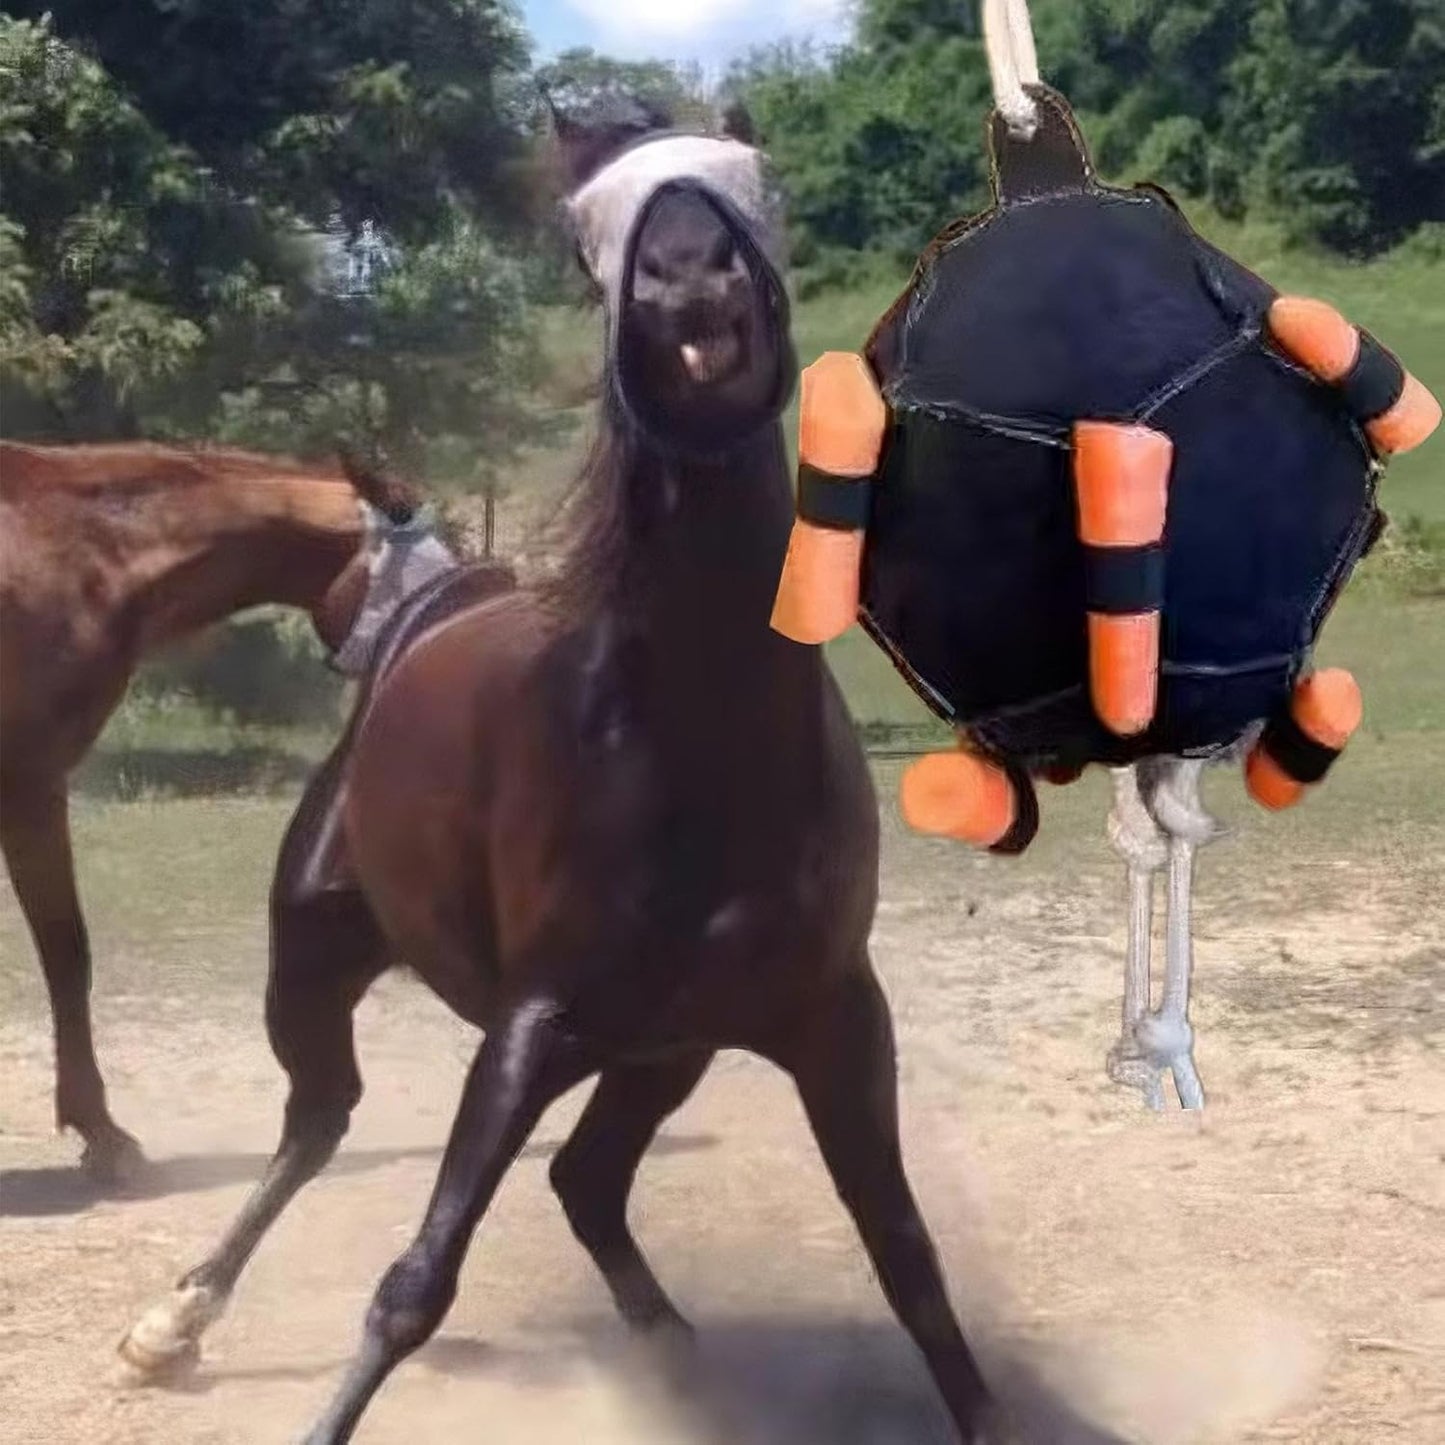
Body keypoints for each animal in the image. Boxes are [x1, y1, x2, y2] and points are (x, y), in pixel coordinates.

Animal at [118, 104, 1010, 1443]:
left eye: (758, 183)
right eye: (588, 232)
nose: (689, 281)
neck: (704, 747)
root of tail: (431, 604)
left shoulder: (831, 1017)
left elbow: (906, 1256)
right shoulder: (533, 1027)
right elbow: (414, 1281)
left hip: (661, 1050)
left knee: (583, 1179)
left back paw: (677, 1353)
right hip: (322, 966)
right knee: (317, 1121)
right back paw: (174, 1318)